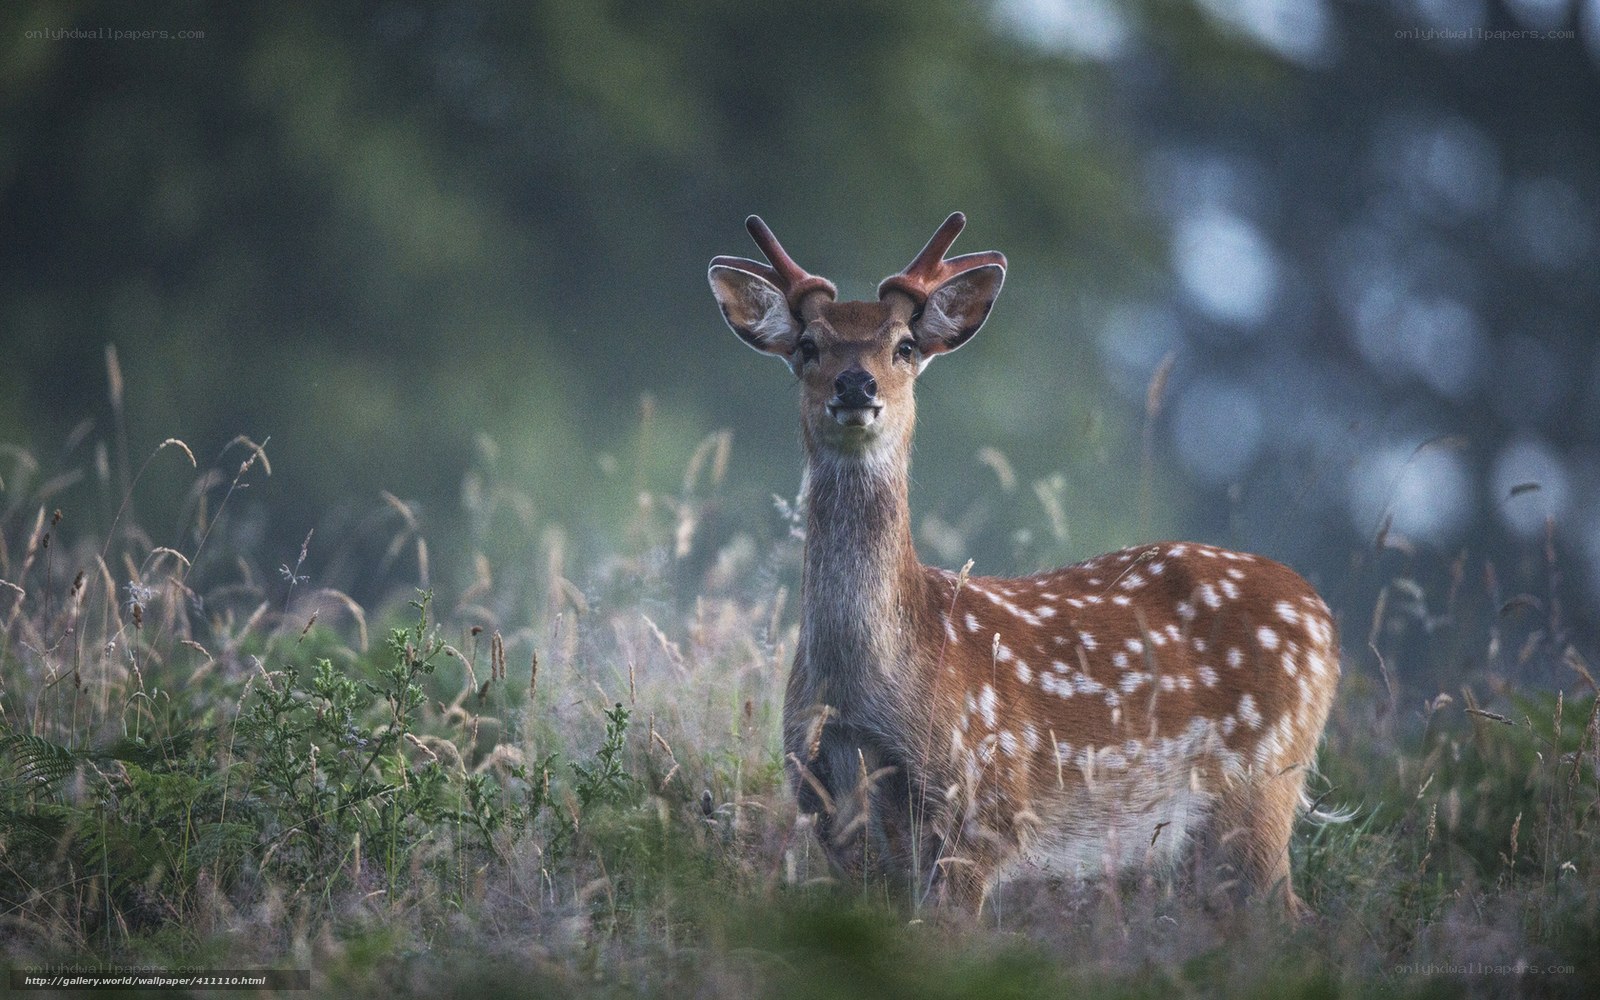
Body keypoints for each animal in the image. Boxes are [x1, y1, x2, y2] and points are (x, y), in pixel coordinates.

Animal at [708, 213, 1341, 919]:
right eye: (809, 345)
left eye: (904, 346)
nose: (855, 384)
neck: (863, 691)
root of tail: (1319, 611)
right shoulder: (829, 812)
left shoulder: (983, 807)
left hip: (1264, 778)